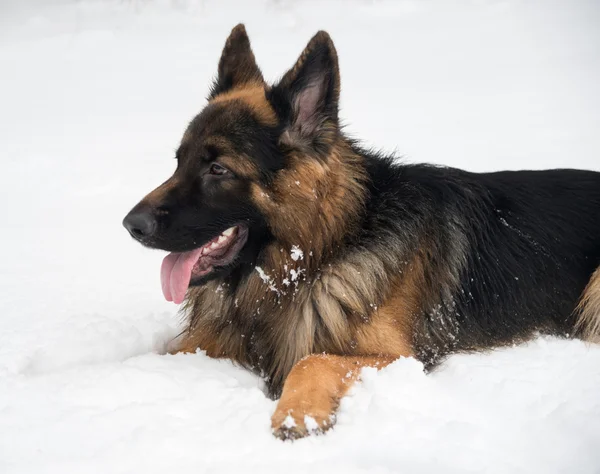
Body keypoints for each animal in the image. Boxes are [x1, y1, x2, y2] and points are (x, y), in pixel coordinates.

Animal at [122, 24, 600, 438]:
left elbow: (313, 360)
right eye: (179, 161)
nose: (130, 225)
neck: (322, 252)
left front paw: (297, 414)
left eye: (218, 169)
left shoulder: (395, 357)